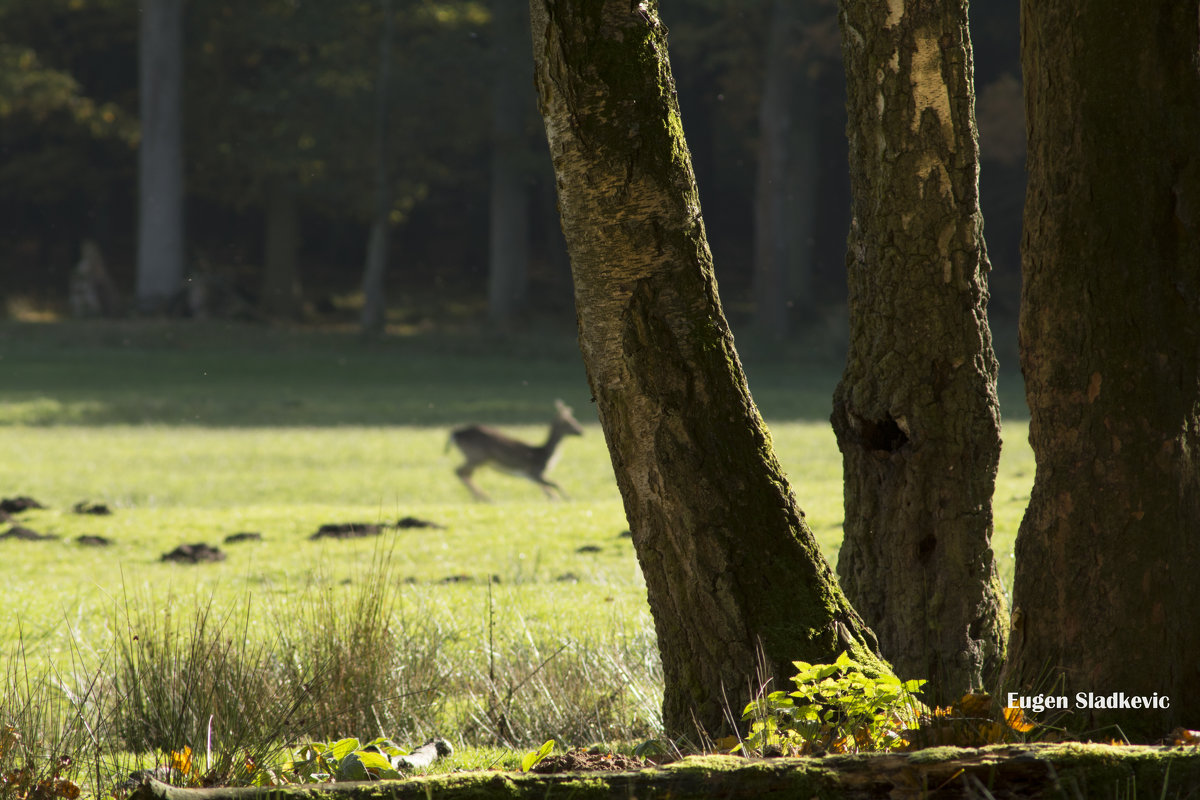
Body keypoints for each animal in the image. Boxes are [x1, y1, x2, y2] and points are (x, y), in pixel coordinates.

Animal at [448, 400, 583, 501]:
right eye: (570, 421)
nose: (581, 431)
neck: (545, 454)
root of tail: (456, 434)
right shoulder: (534, 472)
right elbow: (555, 484)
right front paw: (568, 499)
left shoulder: (533, 476)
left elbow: (549, 490)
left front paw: (559, 499)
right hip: (476, 456)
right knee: (460, 472)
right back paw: (485, 498)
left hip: (476, 459)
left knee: (464, 474)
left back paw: (480, 498)